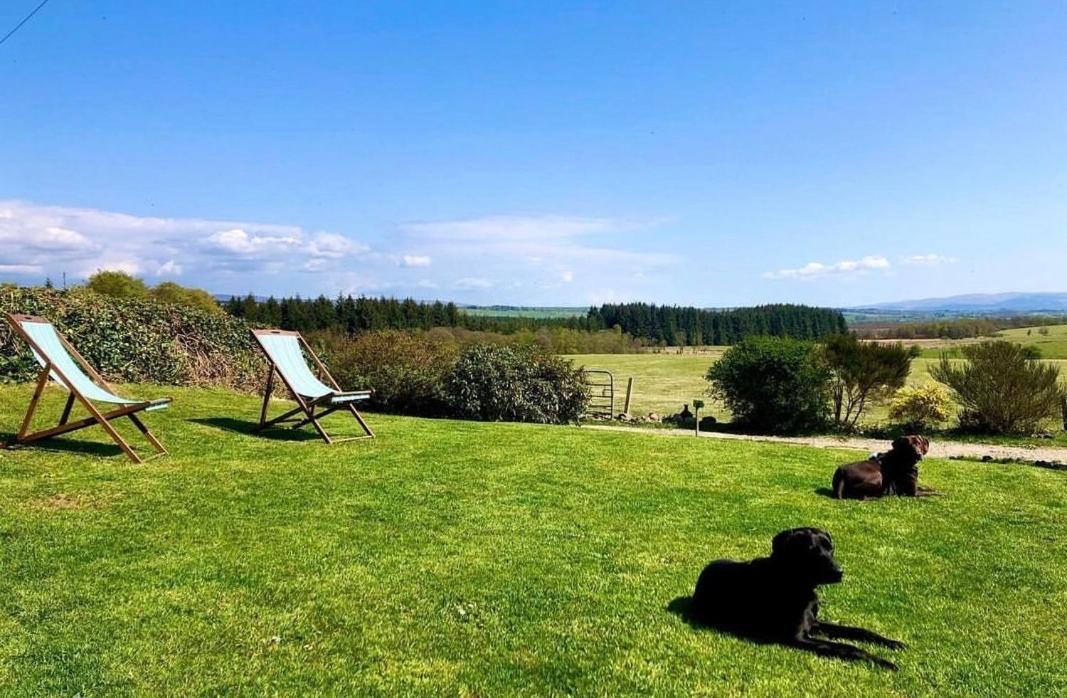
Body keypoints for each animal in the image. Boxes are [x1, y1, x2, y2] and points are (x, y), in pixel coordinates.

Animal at [687, 531, 904, 674]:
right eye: (812, 551)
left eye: (831, 548)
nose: (839, 572)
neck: (793, 579)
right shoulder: (797, 637)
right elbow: (848, 647)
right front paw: (882, 662)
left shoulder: (814, 624)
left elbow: (858, 631)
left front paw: (892, 643)